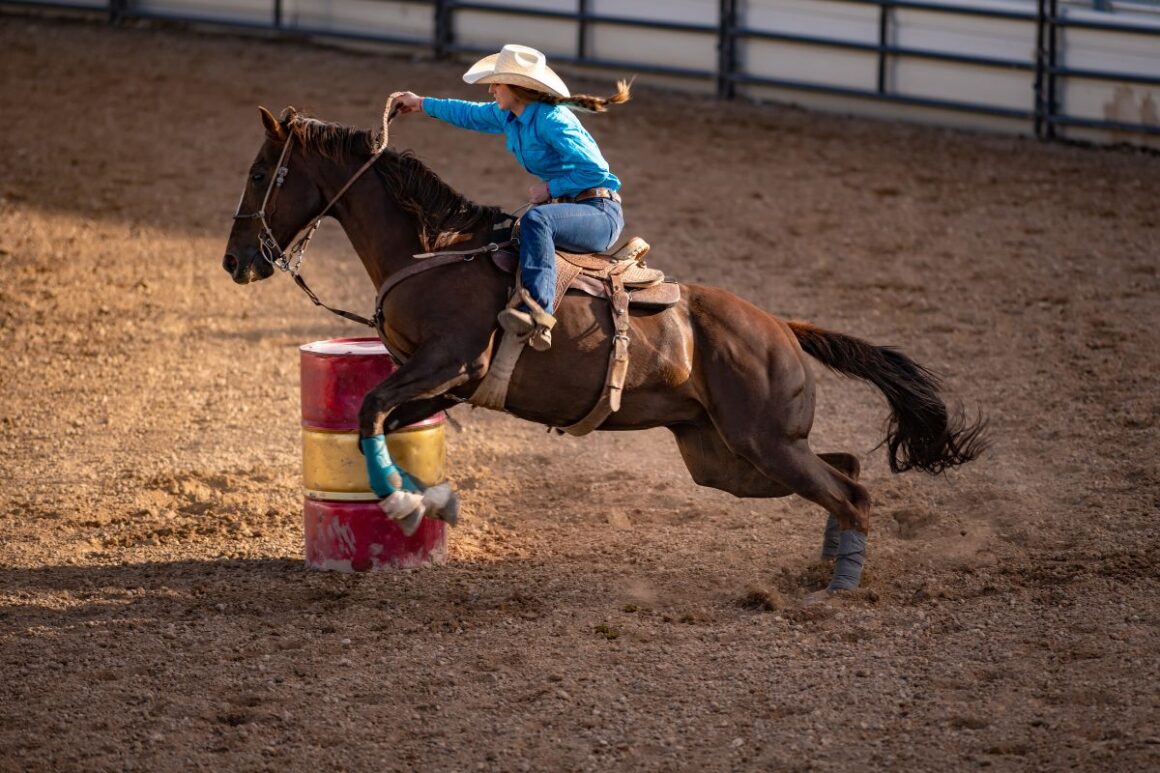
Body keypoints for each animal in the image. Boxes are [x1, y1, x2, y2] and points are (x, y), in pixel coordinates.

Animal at [223, 106, 988, 589]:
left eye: (261, 174)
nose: (236, 261)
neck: (432, 251)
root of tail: (781, 328)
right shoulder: (439, 385)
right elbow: (376, 424)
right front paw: (428, 499)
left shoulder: (450, 364)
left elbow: (368, 412)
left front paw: (406, 507)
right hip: (727, 458)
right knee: (847, 469)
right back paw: (827, 565)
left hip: (761, 443)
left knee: (851, 492)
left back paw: (838, 588)